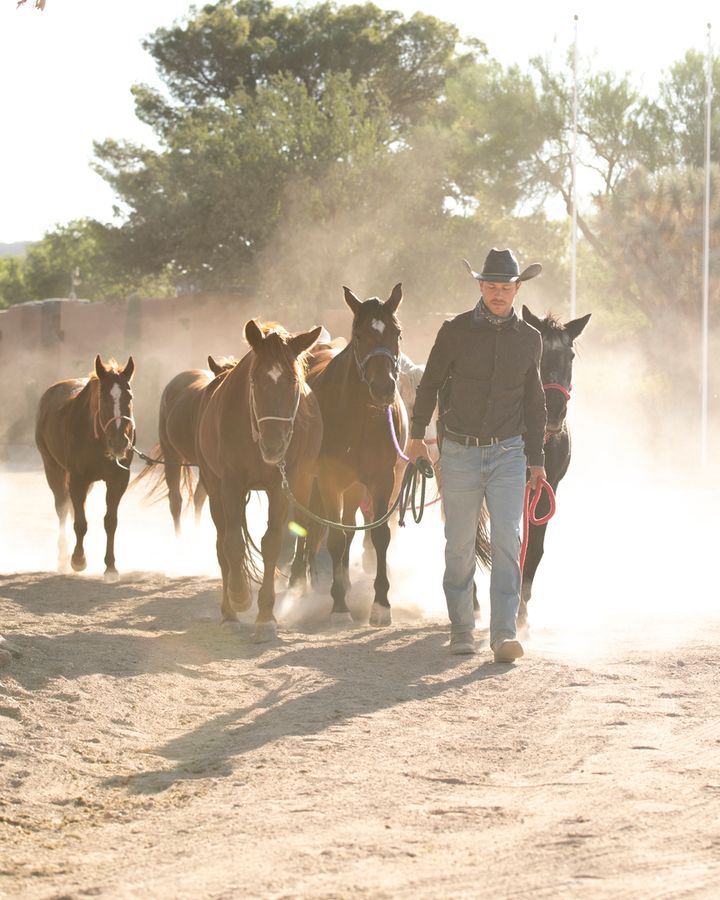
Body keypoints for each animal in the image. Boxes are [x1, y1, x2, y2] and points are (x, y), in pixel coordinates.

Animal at [34, 356, 136, 580]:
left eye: (129, 397)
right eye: (103, 398)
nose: (119, 442)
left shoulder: (118, 480)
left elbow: (110, 521)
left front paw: (111, 566)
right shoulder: (78, 478)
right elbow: (80, 523)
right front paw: (78, 560)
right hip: (53, 469)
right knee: (63, 508)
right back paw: (63, 557)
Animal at [195, 316, 322, 640]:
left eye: (292, 381)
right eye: (254, 380)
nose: (273, 445)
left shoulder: (281, 486)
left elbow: (272, 542)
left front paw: (266, 615)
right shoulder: (229, 484)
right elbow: (232, 543)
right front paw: (240, 596)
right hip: (215, 488)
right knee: (222, 543)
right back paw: (229, 611)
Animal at [298, 282, 408, 624]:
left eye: (397, 332)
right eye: (359, 335)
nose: (383, 388)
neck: (360, 416)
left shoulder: (382, 480)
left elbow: (379, 536)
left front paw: (382, 605)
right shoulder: (329, 480)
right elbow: (333, 538)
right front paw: (338, 606)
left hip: (355, 486)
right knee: (313, 529)